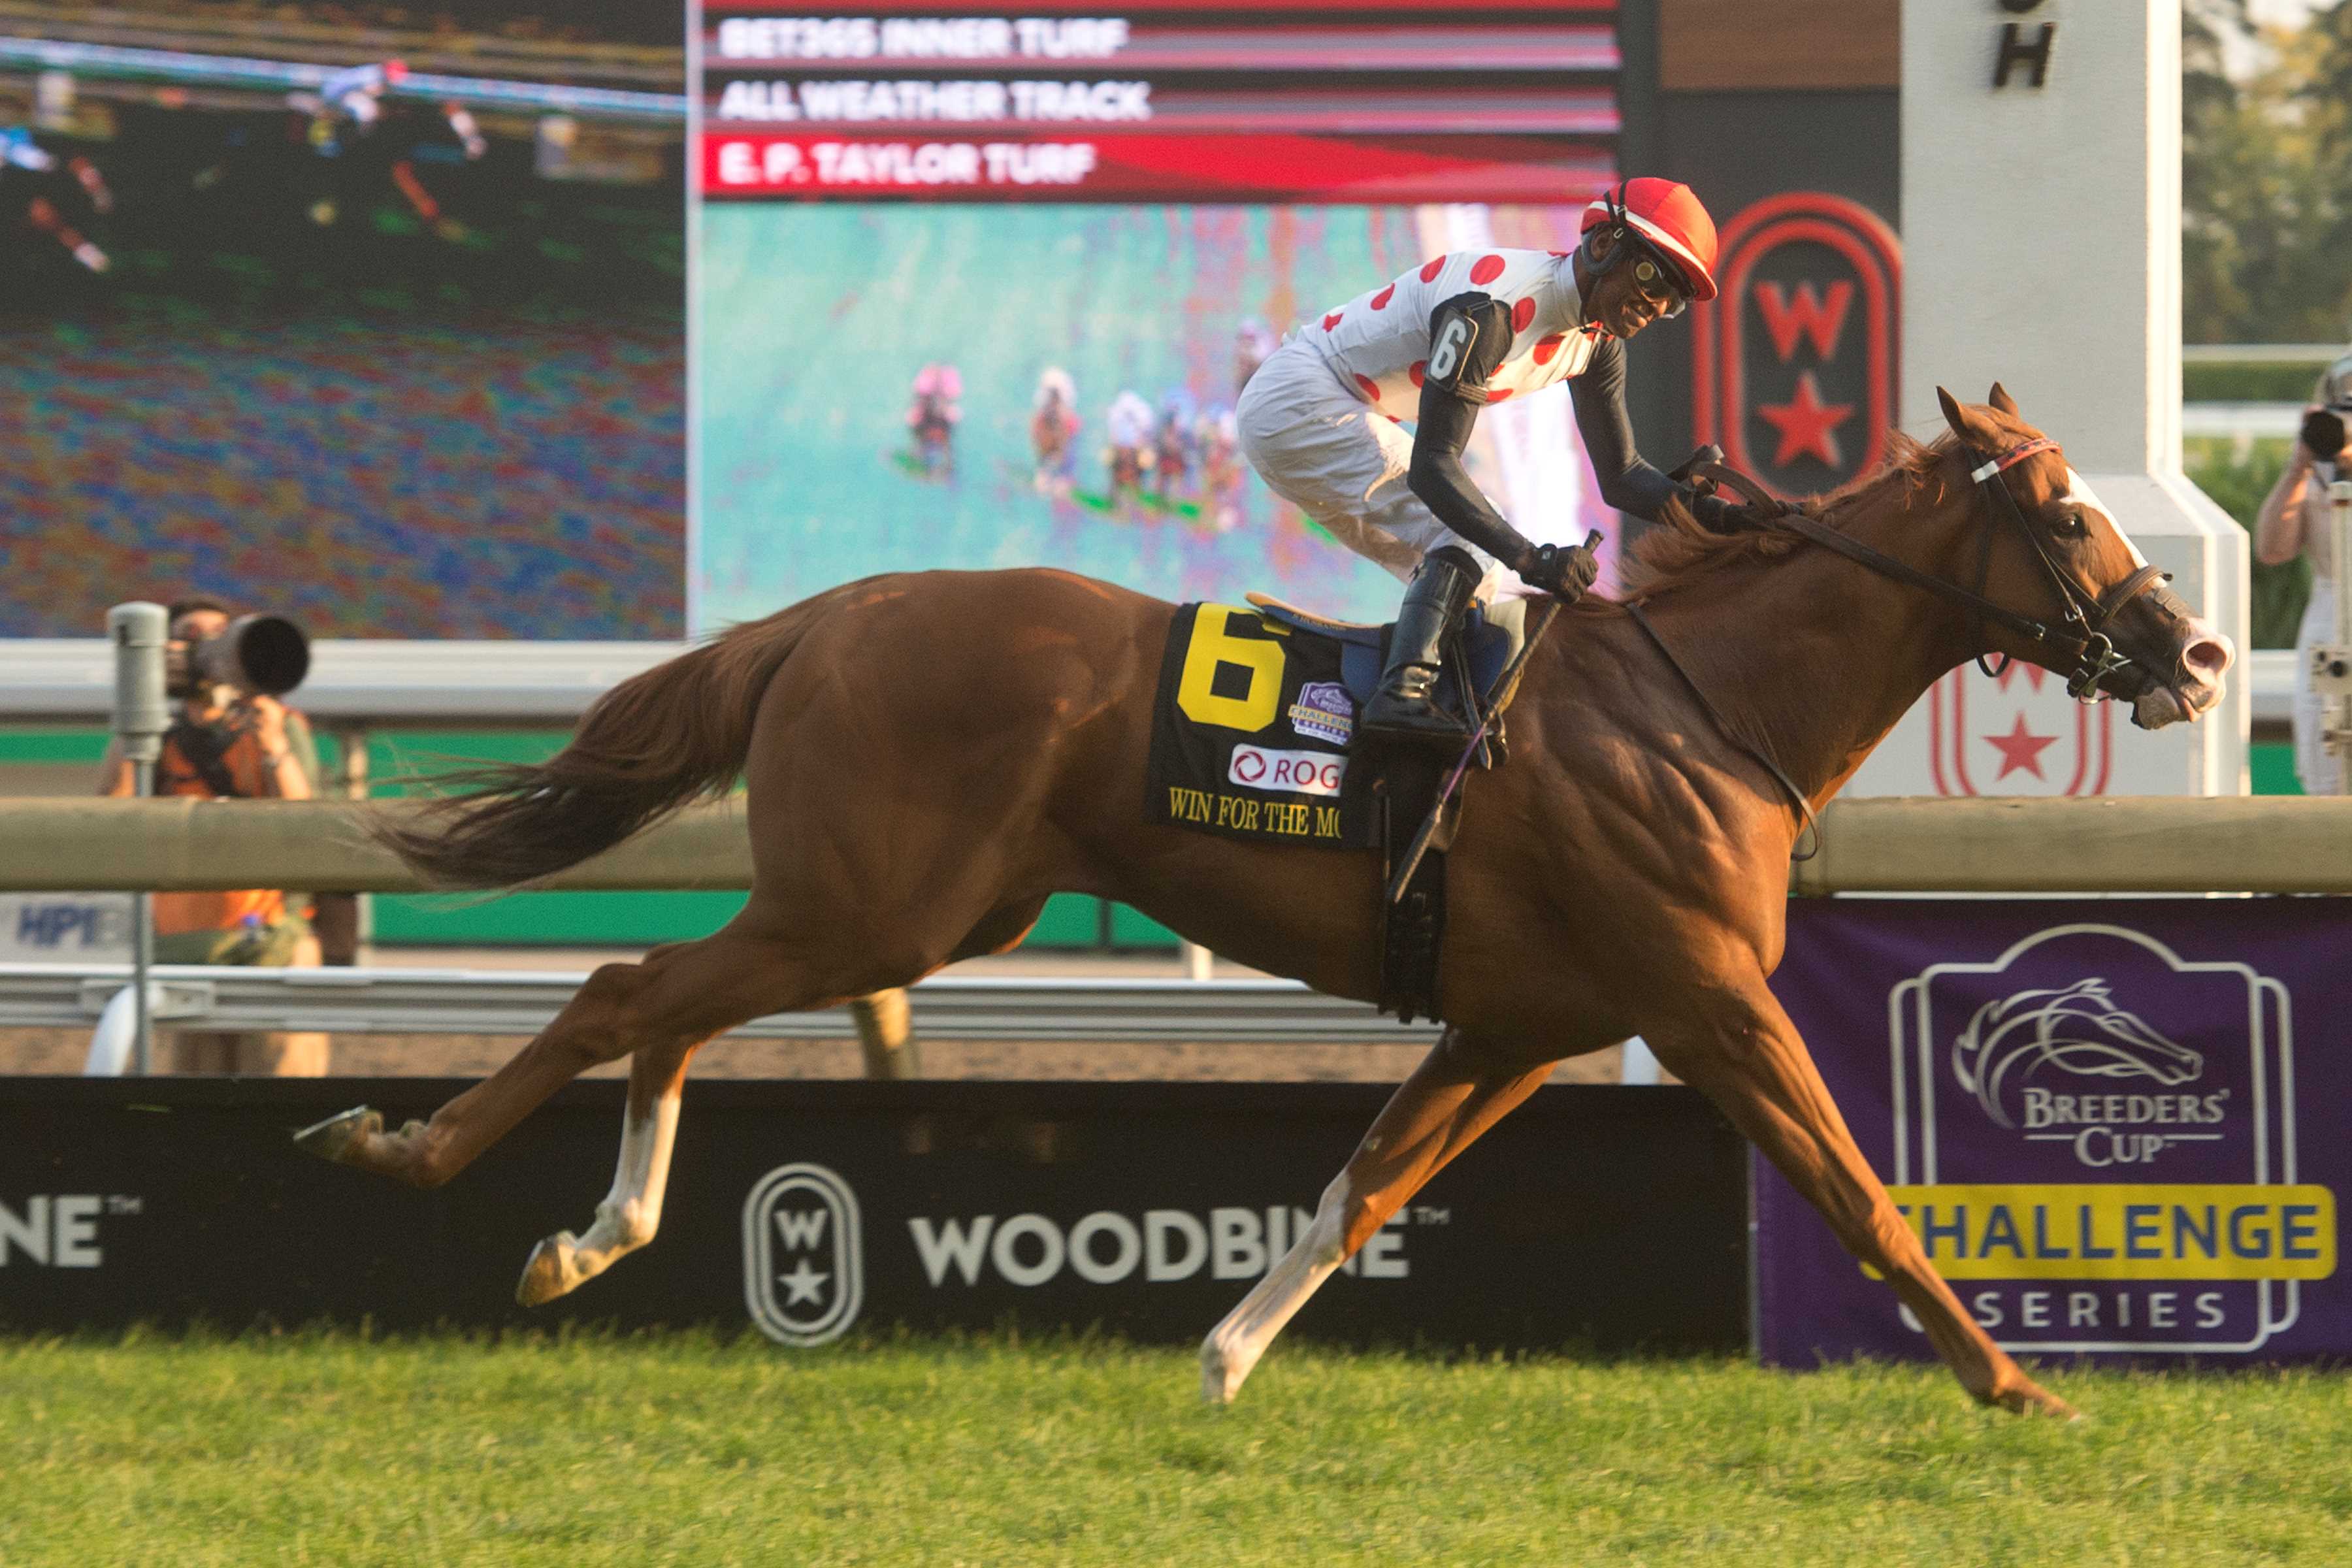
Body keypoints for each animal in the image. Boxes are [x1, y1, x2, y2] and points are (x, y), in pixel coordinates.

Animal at [303, 385, 2229, 1420]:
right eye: (2066, 512)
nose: (2196, 650)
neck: (1701, 704)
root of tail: (833, 609)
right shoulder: (1707, 1002)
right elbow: (1863, 1193)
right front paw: (2015, 1383)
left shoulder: (1521, 1020)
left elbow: (1364, 1180)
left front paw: (1221, 1358)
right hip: (879, 907)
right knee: (626, 990)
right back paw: (419, 1154)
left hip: (913, 911)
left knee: (665, 1001)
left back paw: (589, 1230)